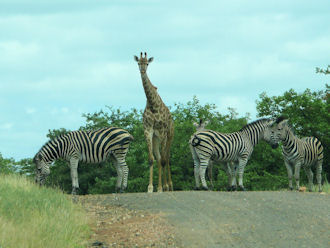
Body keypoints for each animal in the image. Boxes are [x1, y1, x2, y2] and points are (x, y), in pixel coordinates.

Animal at [134, 51, 175, 193]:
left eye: (147, 63)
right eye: (138, 62)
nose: (142, 70)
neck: (152, 104)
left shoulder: (162, 132)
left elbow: (163, 160)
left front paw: (162, 188)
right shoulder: (148, 131)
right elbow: (152, 159)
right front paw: (151, 187)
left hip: (169, 136)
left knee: (166, 158)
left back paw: (169, 186)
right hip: (156, 138)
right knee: (159, 158)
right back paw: (162, 186)